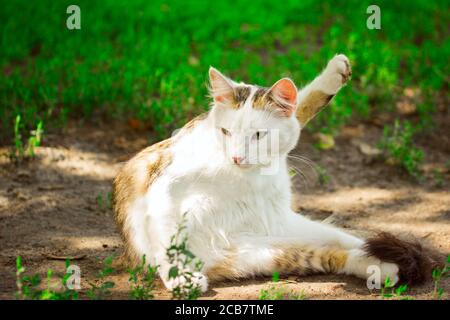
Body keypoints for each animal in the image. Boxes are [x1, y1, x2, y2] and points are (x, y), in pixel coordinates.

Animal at [114, 54, 434, 292]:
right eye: (226, 132)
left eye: (258, 135)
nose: (237, 156)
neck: (246, 177)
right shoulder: (163, 186)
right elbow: (168, 237)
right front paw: (179, 276)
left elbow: (298, 109)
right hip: (259, 250)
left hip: (274, 233)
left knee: (338, 245)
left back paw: (382, 264)